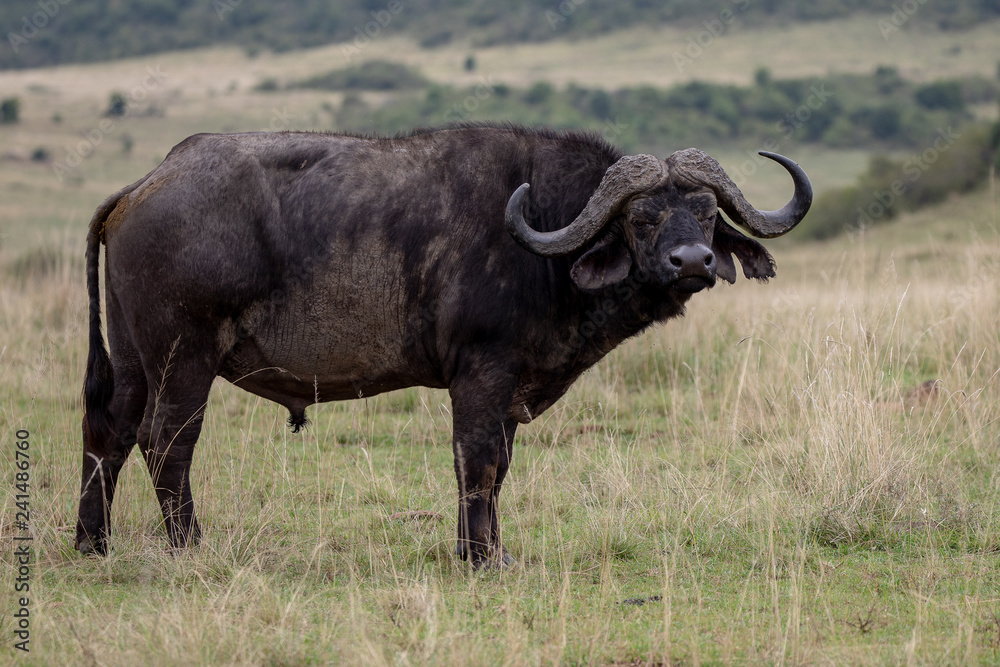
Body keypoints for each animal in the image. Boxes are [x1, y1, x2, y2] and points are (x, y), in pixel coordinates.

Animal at [78, 122, 812, 568]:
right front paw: (481, 557)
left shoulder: (508, 387)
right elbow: (477, 461)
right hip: (184, 358)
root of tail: (144, 184)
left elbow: (499, 468)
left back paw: (92, 540)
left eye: (707, 214)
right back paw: (189, 544)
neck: (541, 237)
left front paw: (487, 549)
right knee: (167, 441)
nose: (691, 262)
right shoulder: (481, 375)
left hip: (133, 359)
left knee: (109, 431)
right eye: (642, 217)